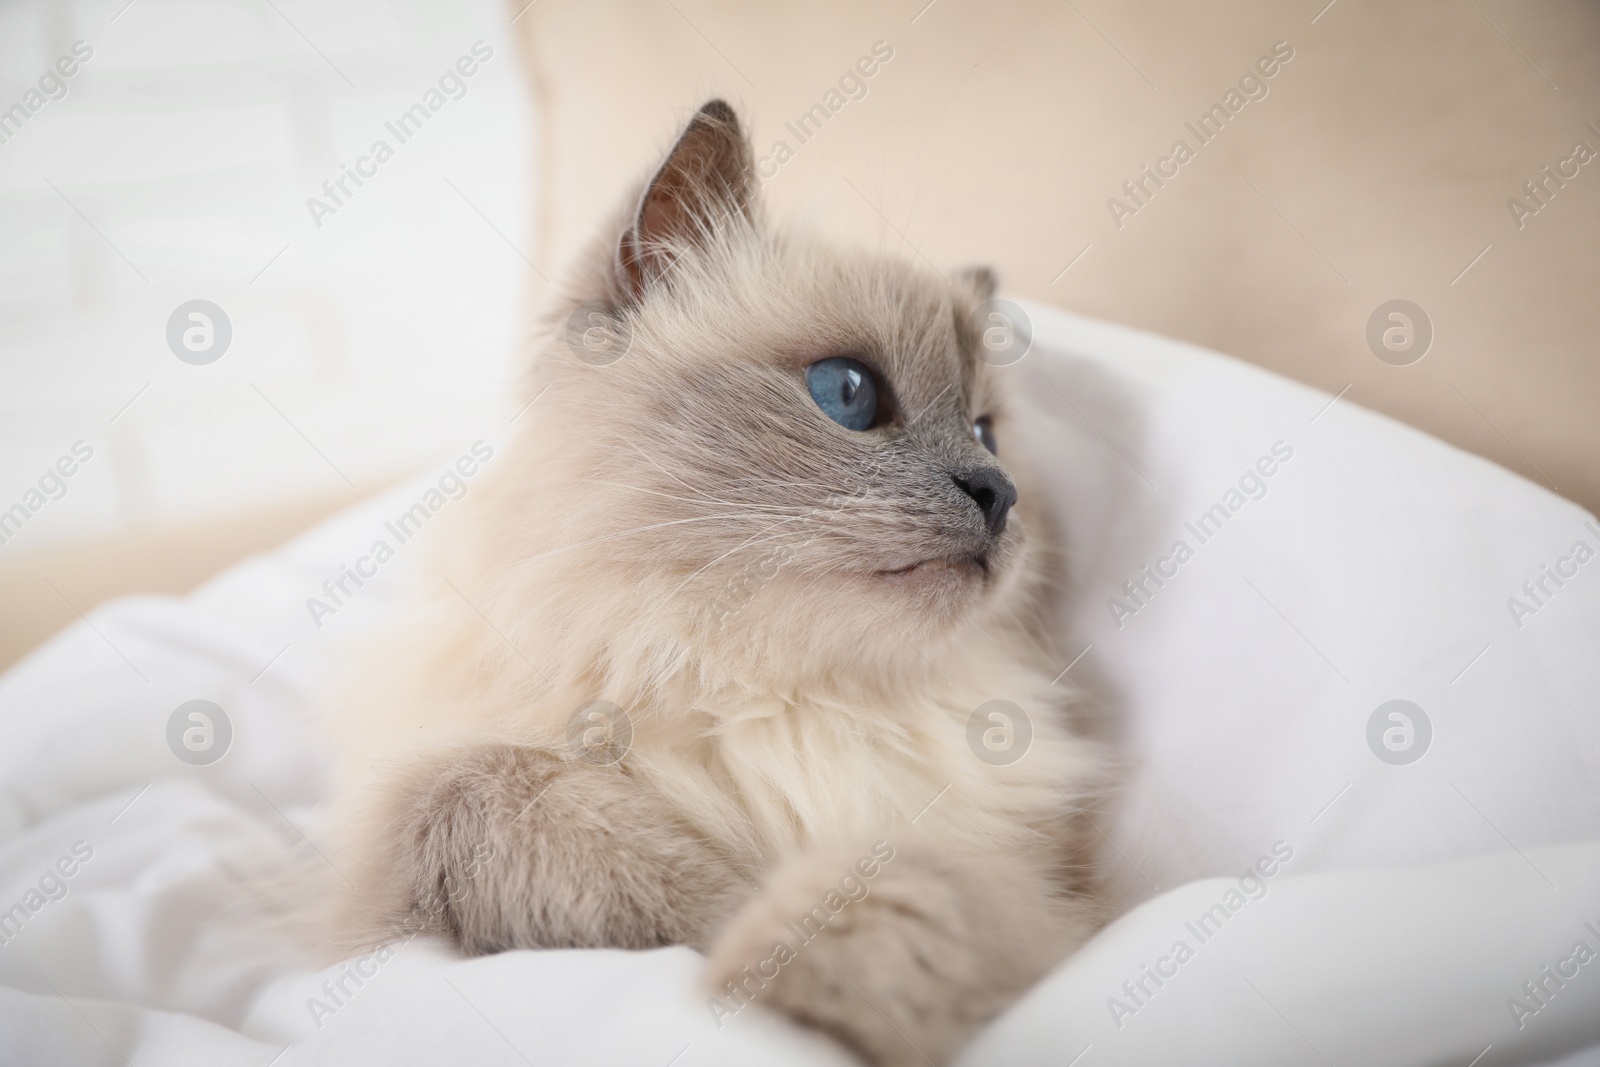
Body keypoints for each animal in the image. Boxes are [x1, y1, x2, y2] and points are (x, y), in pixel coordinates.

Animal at [321, 97, 1100, 1062]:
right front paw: (723, 938)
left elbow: (873, 895)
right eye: (846, 393)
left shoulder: (1040, 894)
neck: (778, 699)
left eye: (989, 434)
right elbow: (523, 811)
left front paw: (781, 981)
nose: (998, 494)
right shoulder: (419, 820)